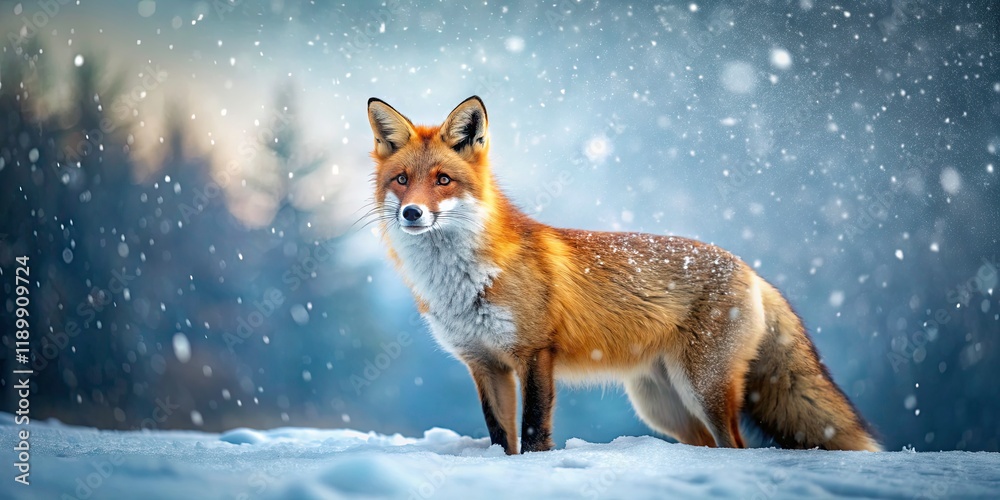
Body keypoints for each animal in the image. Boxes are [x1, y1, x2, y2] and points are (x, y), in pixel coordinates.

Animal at [366, 95, 881, 454]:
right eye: (401, 180)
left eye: (443, 180)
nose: (412, 213)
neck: (463, 281)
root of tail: (751, 270)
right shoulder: (483, 364)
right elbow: (499, 437)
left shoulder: (535, 353)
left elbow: (533, 433)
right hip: (662, 406)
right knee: (710, 446)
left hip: (705, 389)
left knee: (737, 446)